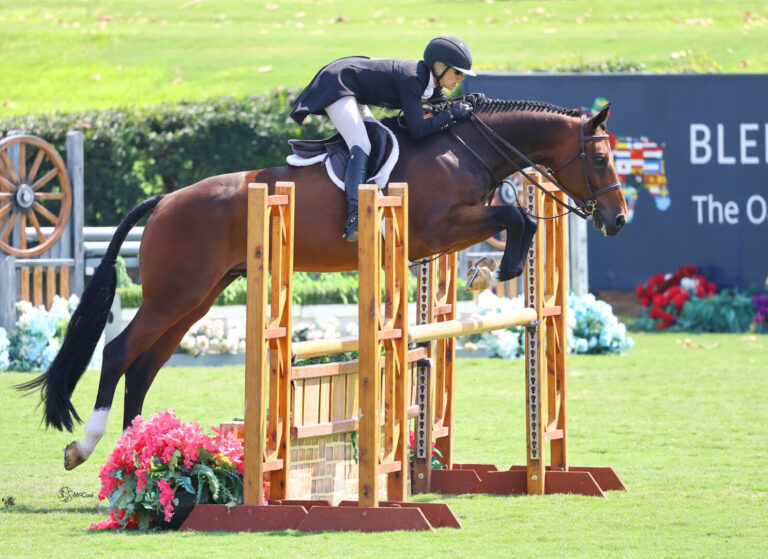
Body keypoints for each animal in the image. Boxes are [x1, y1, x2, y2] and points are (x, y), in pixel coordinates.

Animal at [21, 95, 628, 468]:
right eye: (601, 158)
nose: (618, 220)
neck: (464, 149)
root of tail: (165, 199)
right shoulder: (439, 226)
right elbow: (518, 218)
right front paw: (494, 272)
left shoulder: (445, 233)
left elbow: (517, 222)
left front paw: (484, 272)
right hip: (175, 296)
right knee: (118, 352)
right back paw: (88, 448)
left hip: (197, 299)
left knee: (144, 366)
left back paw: (139, 452)